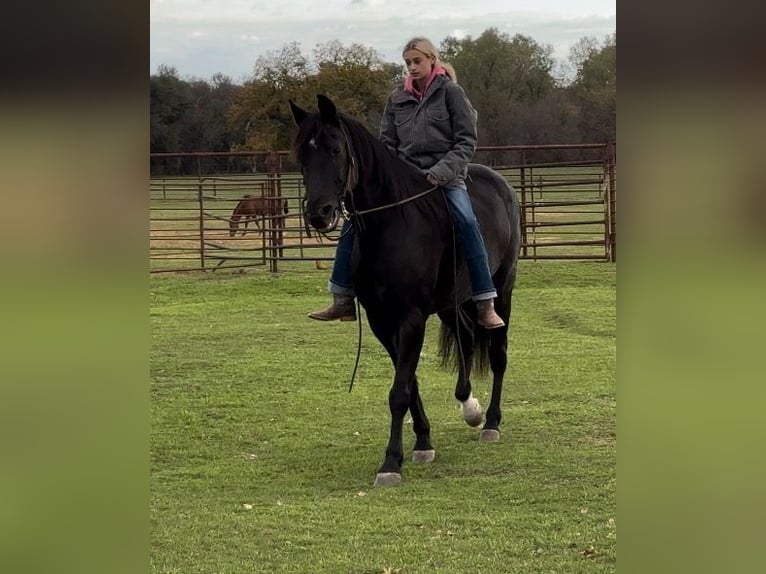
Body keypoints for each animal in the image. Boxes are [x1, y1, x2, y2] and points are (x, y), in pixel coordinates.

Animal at [290, 97, 520, 488]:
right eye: (302, 155)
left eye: (335, 150)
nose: (319, 213)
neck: (392, 225)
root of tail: (501, 185)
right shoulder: (382, 321)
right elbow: (408, 382)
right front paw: (423, 442)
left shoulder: (411, 319)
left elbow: (399, 392)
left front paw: (391, 463)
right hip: (451, 303)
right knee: (467, 336)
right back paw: (469, 407)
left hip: (502, 290)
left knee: (497, 352)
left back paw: (490, 422)